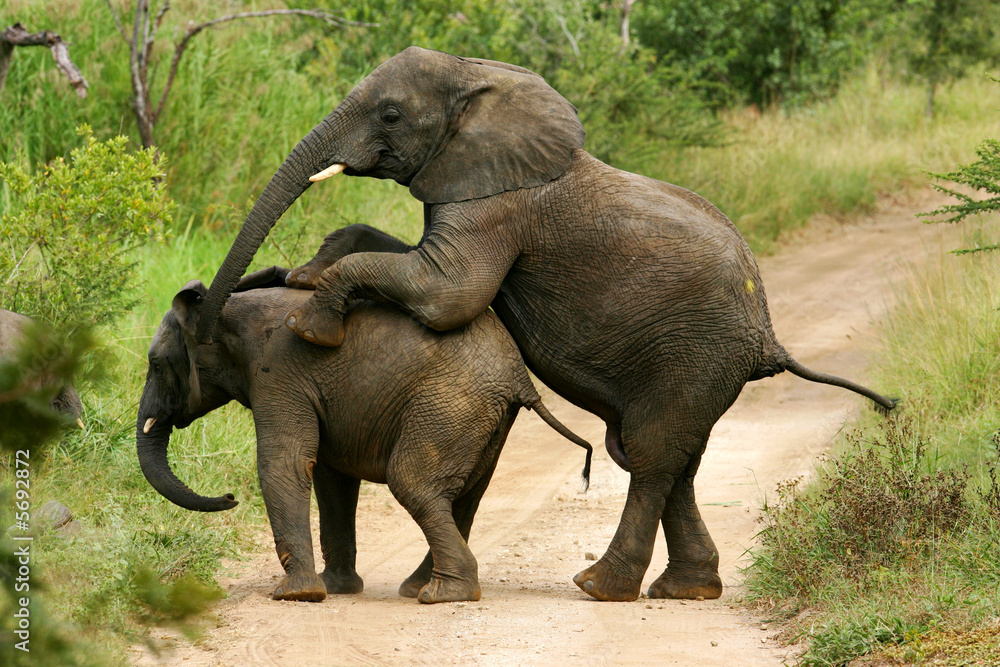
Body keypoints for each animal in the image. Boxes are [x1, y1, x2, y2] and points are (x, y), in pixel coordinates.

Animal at [136, 265, 593, 603]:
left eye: (156, 363)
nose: (230, 497)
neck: (227, 310)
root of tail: (519, 376)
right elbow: (331, 478)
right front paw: (335, 589)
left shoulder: (278, 373)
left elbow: (285, 461)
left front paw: (295, 595)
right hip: (483, 416)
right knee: (465, 496)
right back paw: (424, 586)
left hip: (450, 405)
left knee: (414, 483)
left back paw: (444, 594)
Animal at [194, 47, 897, 602]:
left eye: (390, 114)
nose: (200, 315)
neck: (476, 78)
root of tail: (768, 335)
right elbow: (407, 262)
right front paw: (306, 271)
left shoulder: (498, 203)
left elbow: (446, 293)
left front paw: (312, 323)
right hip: (705, 367)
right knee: (675, 459)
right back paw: (686, 589)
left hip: (697, 353)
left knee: (651, 456)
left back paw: (601, 587)